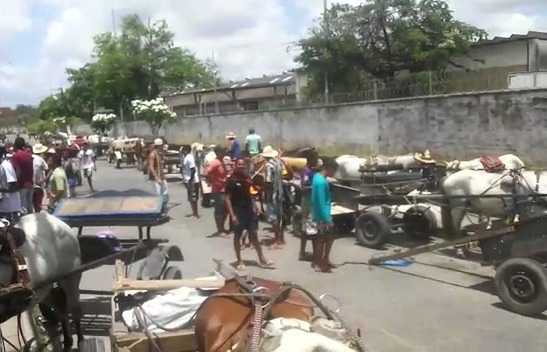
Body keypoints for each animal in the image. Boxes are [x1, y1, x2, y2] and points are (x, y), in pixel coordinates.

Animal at [0, 213, 82, 350]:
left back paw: (81, 341)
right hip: (43, 288)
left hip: (71, 277)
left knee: (75, 309)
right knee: (60, 309)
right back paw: (67, 342)